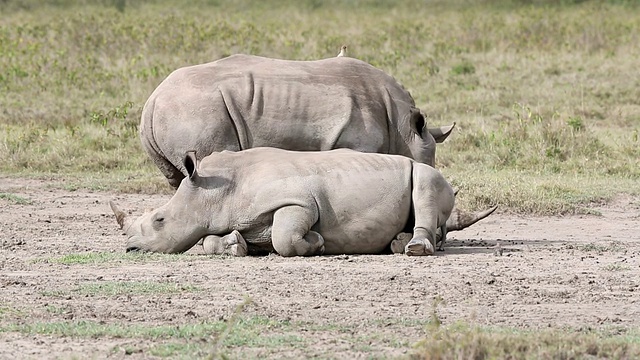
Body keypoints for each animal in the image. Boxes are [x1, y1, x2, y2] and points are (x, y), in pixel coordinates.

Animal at [111, 148, 496, 258]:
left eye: (159, 221)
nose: (130, 248)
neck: (213, 189)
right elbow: (209, 240)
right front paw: (236, 246)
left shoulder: (296, 201)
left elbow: (286, 236)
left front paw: (317, 243)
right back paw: (397, 244)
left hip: (428, 173)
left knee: (426, 184)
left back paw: (413, 250)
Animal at [140, 53, 456, 190]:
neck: (403, 128)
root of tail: (152, 101)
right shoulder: (355, 142)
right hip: (195, 111)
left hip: (175, 115)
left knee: (179, 179)